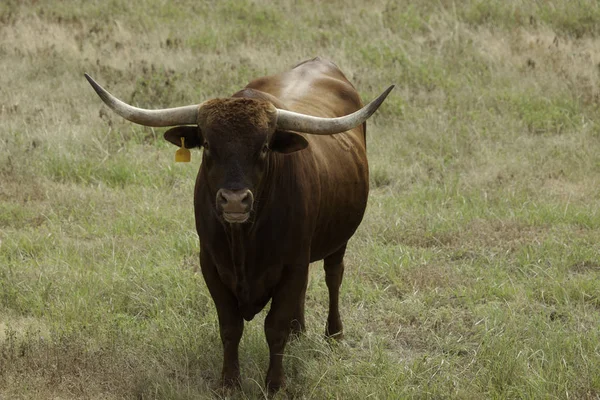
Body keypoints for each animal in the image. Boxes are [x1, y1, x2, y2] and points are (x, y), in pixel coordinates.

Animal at [85, 57, 394, 392]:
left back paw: (334, 333)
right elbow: (230, 327)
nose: (234, 201)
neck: (244, 239)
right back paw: (299, 330)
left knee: (333, 276)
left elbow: (275, 328)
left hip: (338, 240)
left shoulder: (292, 266)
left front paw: (275, 384)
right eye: (207, 144)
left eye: (264, 147)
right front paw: (229, 382)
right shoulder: (211, 265)